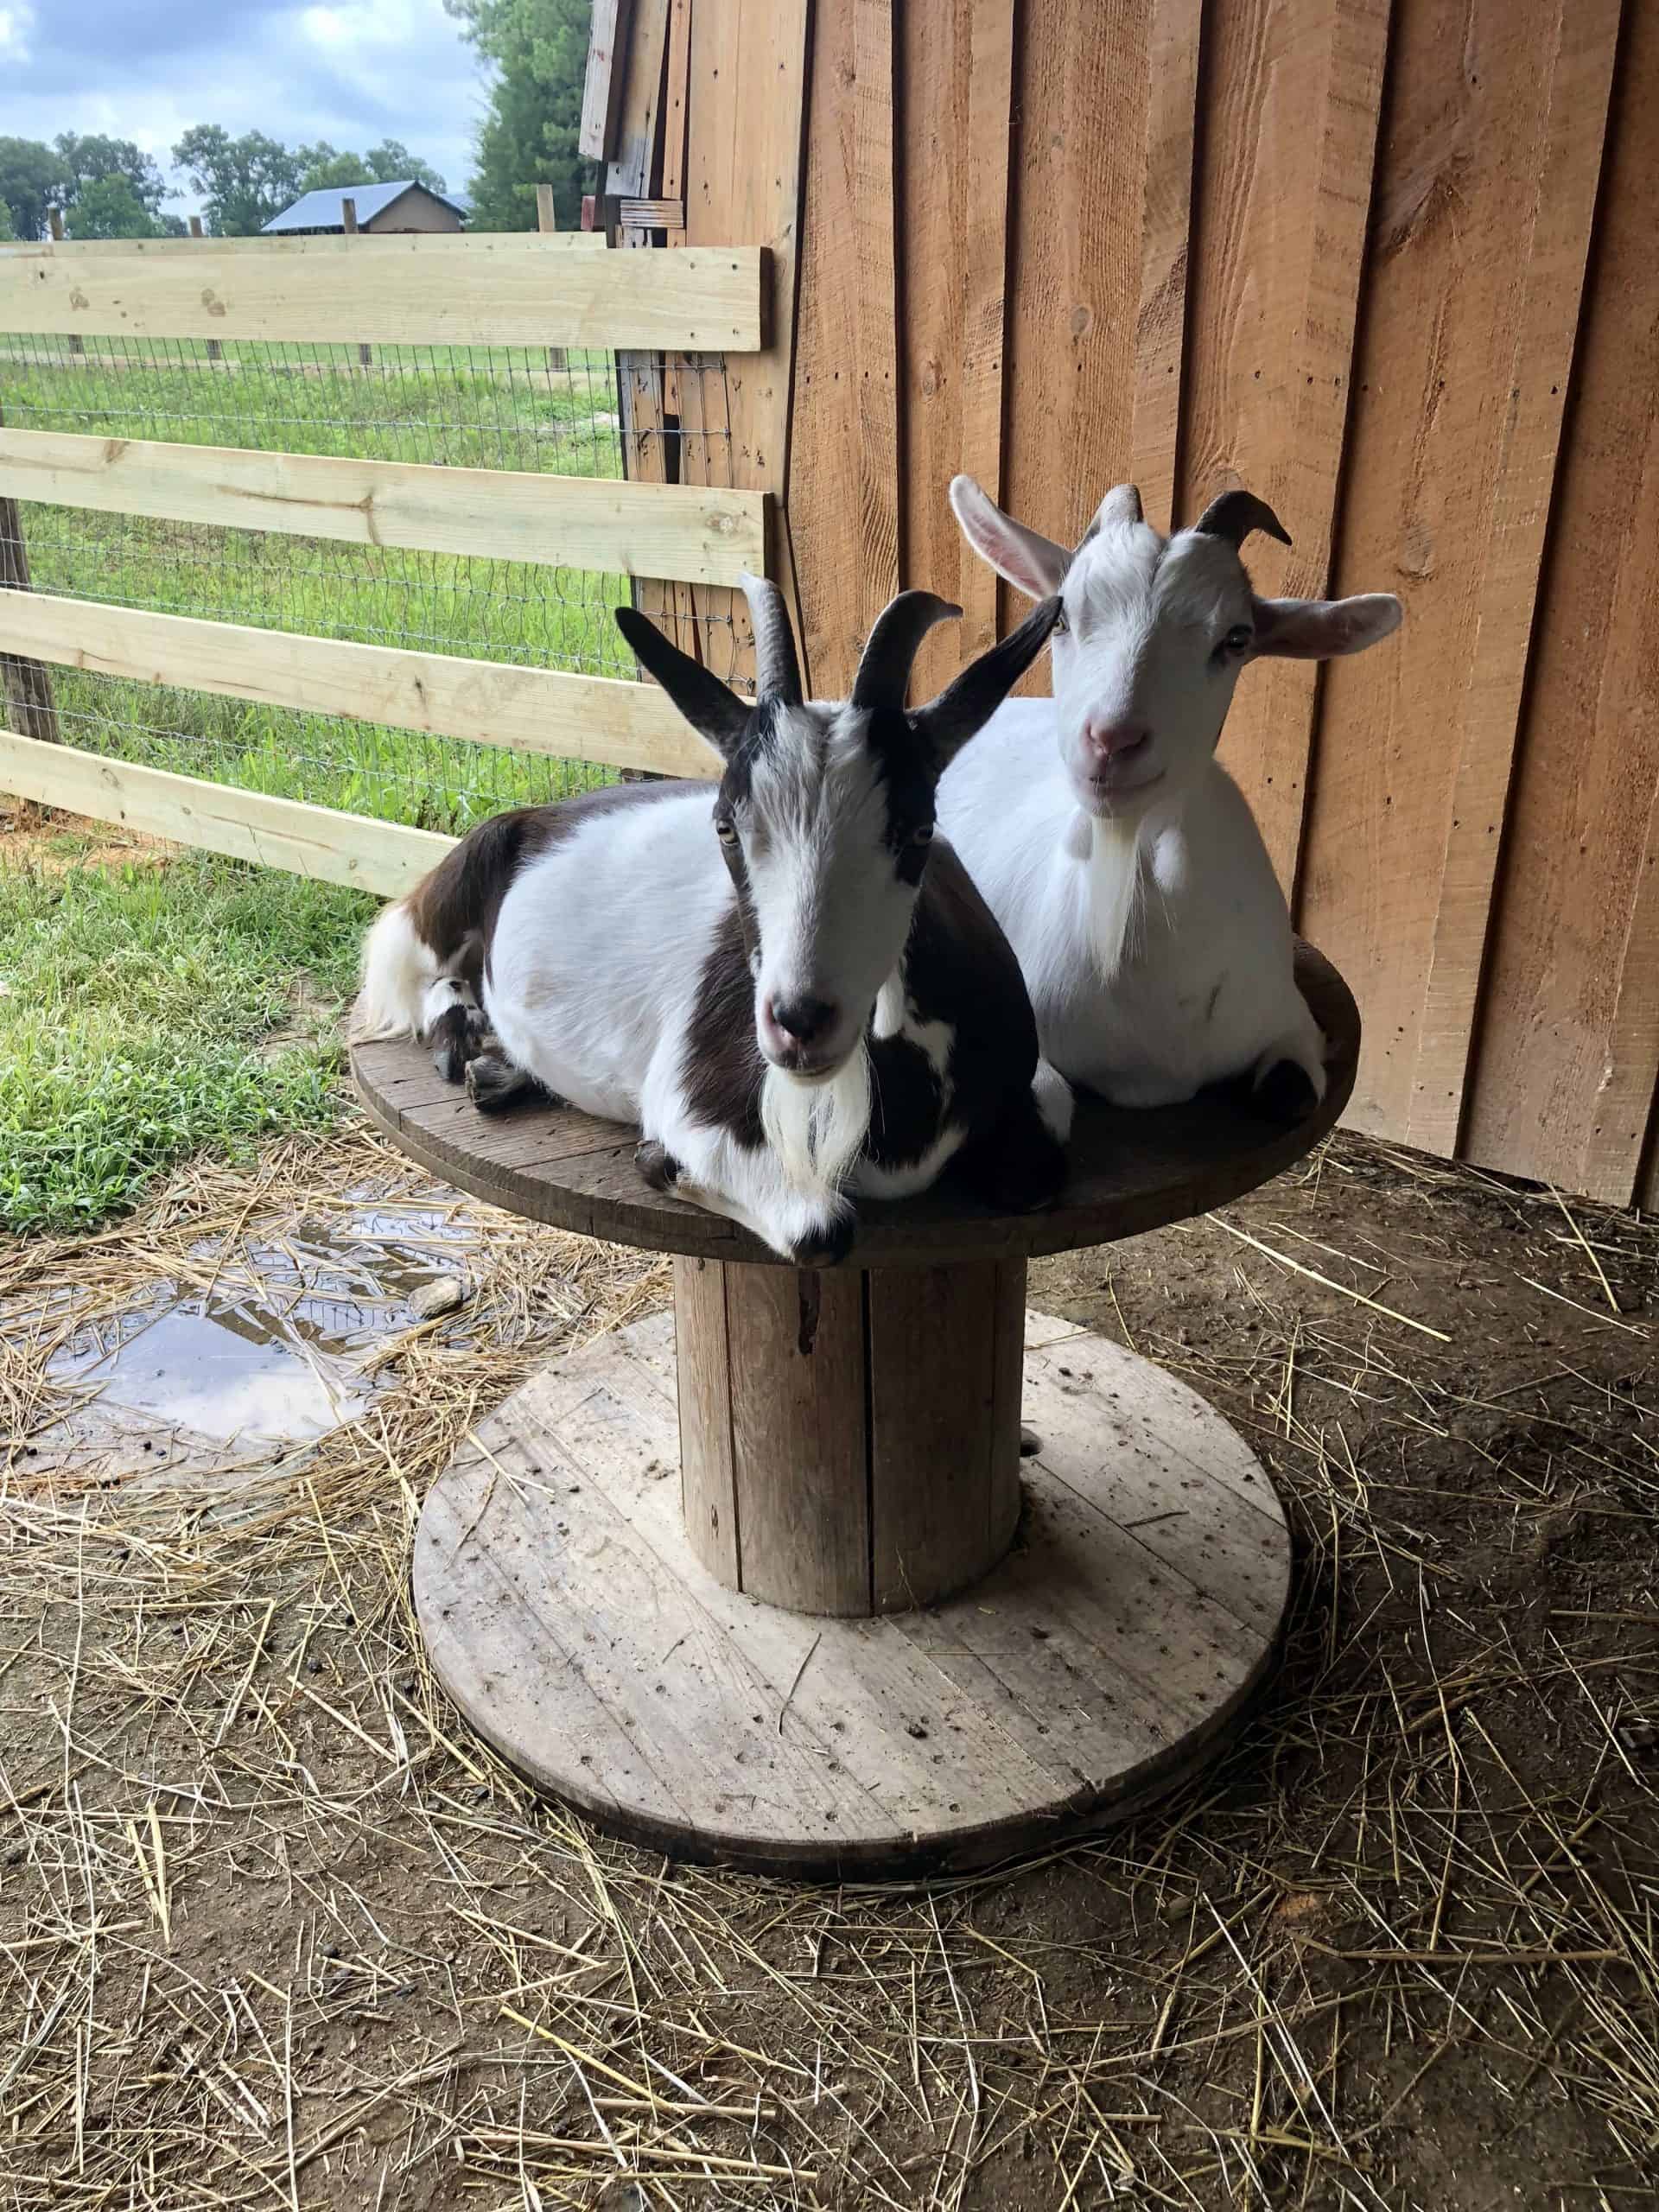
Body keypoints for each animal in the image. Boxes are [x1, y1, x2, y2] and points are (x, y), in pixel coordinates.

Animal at [358, 576, 1067, 1265]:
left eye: (919, 829)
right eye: (726, 827)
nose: (799, 1023)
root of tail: (544, 813)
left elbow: (1041, 1160)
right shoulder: (698, 1101)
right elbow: (821, 1229)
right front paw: (659, 1159)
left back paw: (497, 1070)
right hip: (450, 891)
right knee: (408, 966)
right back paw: (465, 1043)